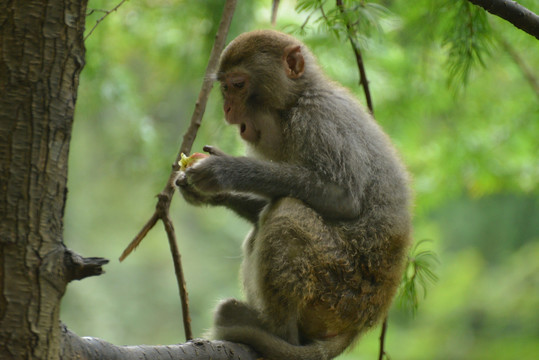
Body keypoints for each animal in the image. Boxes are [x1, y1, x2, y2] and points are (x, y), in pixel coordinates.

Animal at [175, 29, 412, 358]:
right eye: (224, 88)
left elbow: (345, 198)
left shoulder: (319, 119)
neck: (294, 103)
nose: (227, 109)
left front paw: (224, 170)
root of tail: (359, 326)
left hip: (336, 291)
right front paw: (204, 193)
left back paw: (275, 332)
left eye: (238, 85)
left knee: (287, 211)